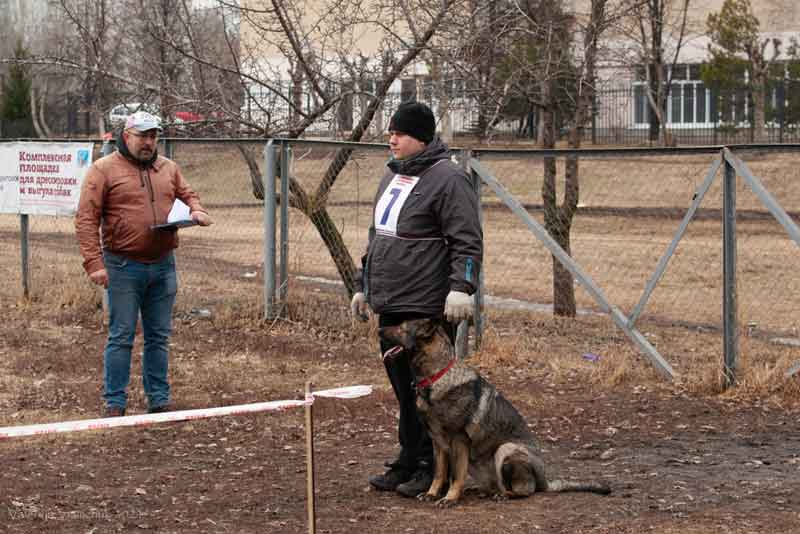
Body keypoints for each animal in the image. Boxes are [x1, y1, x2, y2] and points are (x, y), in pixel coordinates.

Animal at [378, 320, 608, 508]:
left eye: (401, 327)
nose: (379, 330)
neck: (437, 377)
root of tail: (544, 481)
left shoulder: (459, 441)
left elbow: (456, 475)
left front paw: (450, 498)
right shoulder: (438, 443)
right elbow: (439, 473)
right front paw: (432, 494)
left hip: (505, 450)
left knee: (524, 491)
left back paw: (503, 495)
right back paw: (482, 490)